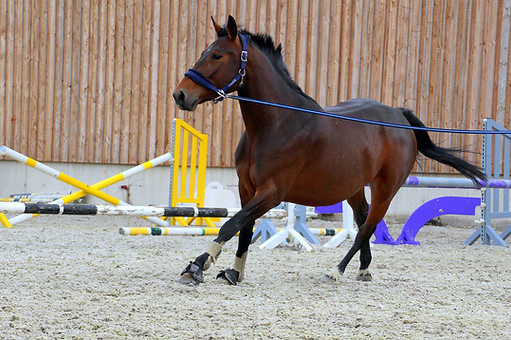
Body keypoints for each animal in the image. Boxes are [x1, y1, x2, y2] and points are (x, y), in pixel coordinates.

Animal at [172, 16, 484, 286]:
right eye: (205, 52)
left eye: (217, 55)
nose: (180, 95)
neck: (276, 123)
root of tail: (398, 116)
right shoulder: (246, 188)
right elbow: (244, 230)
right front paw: (234, 273)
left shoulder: (272, 192)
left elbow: (231, 224)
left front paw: (197, 265)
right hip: (355, 187)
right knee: (363, 220)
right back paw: (364, 269)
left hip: (386, 188)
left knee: (367, 227)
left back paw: (337, 270)